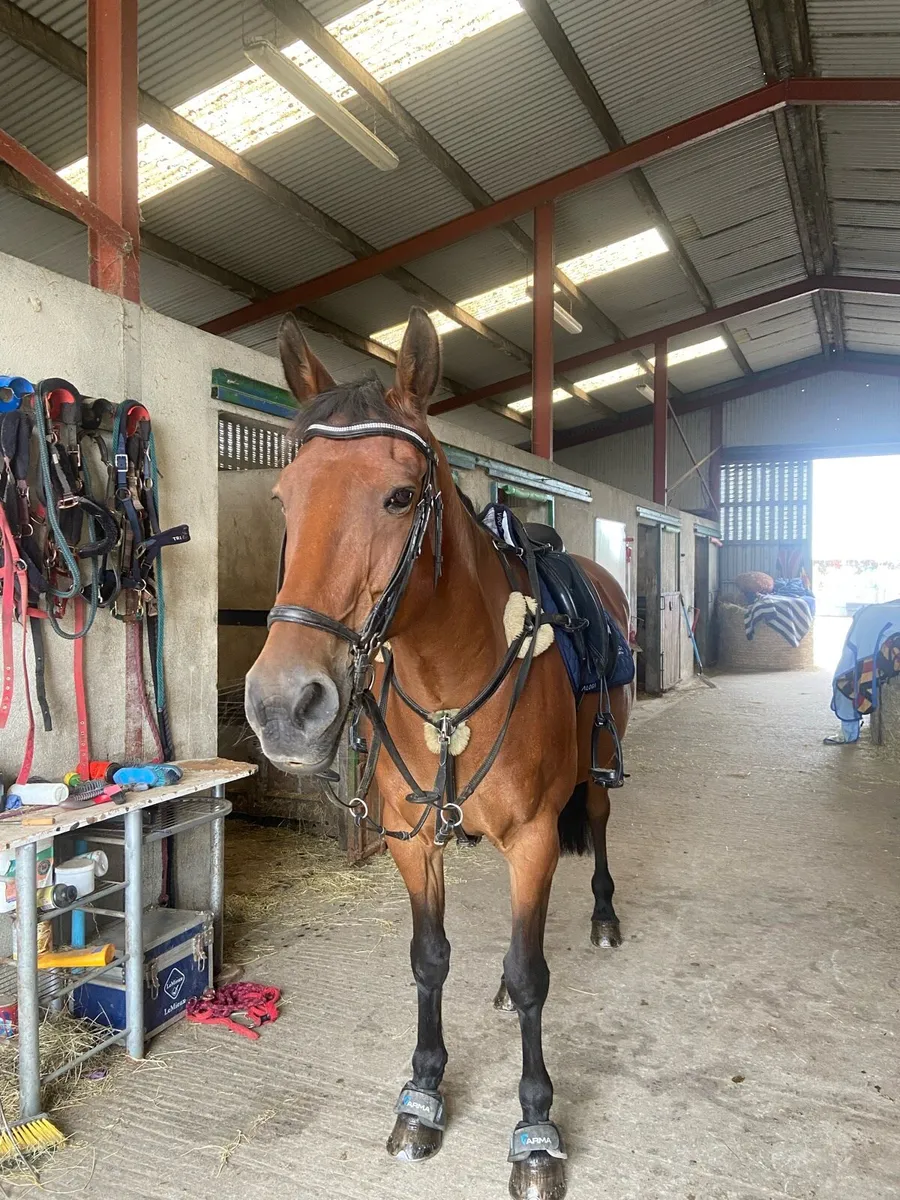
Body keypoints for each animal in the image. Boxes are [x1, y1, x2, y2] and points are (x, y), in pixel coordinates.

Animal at [244, 308, 633, 1200]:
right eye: (283, 497)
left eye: (397, 495)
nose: (283, 707)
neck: (452, 684)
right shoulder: (413, 839)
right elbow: (430, 959)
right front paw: (422, 1094)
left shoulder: (533, 836)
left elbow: (533, 976)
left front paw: (535, 1131)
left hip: (596, 775)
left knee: (596, 828)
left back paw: (602, 915)